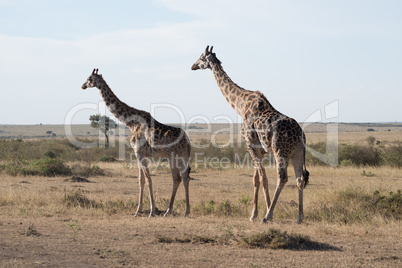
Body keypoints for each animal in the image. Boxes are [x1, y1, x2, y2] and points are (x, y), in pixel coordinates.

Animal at [81, 68, 192, 218]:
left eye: (89, 78)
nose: (83, 86)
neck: (131, 123)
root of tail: (187, 141)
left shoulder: (139, 152)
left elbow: (148, 180)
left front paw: (151, 211)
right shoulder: (139, 154)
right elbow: (141, 181)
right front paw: (138, 210)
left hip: (173, 156)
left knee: (177, 178)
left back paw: (169, 211)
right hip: (182, 156)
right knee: (185, 177)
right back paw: (185, 211)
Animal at [190, 46, 310, 224]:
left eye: (201, 57)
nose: (193, 66)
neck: (241, 105)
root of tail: (301, 135)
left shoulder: (251, 146)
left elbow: (263, 179)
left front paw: (266, 212)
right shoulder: (259, 150)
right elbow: (256, 180)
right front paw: (253, 214)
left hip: (280, 151)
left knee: (282, 178)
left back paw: (268, 216)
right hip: (298, 152)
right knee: (300, 179)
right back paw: (300, 217)